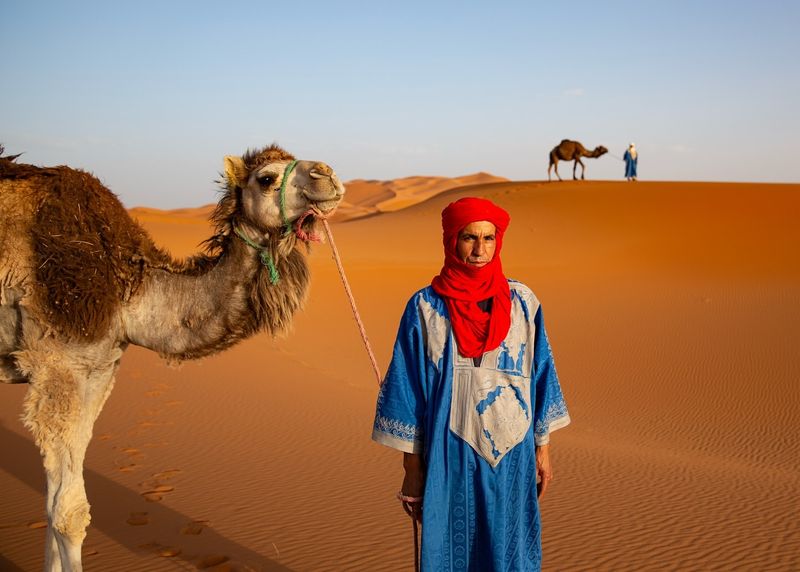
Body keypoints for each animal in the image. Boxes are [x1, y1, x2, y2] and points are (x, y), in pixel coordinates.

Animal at [0, 142, 344, 568]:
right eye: (266, 179)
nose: (327, 174)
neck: (130, 291)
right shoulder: (58, 366)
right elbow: (69, 512)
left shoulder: (98, 369)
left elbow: (52, 503)